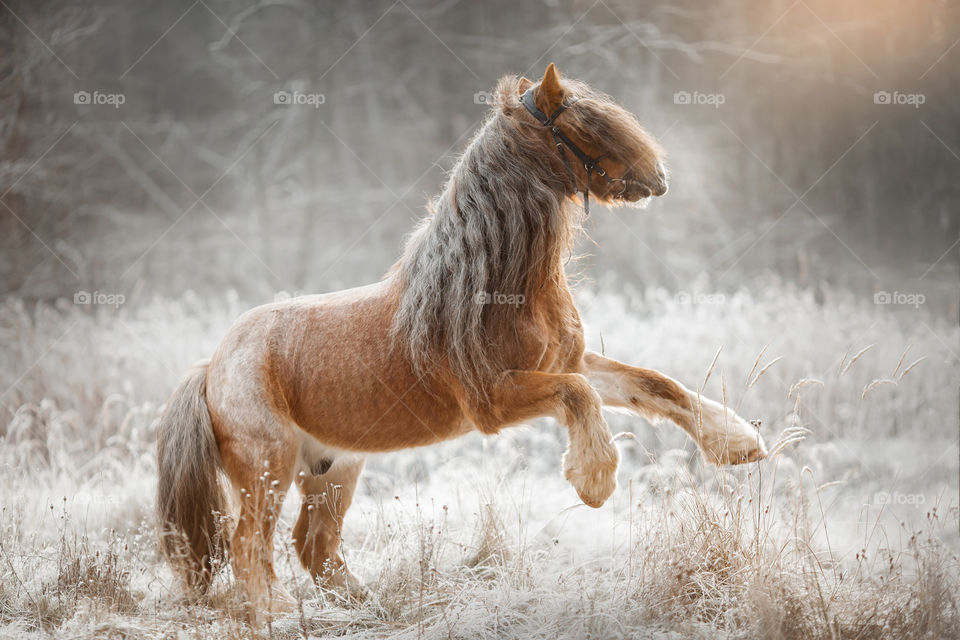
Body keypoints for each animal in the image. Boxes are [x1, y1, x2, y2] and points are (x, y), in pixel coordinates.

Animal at [156, 63, 764, 616]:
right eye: (583, 124)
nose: (659, 176)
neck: (494, 287)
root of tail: (211, 367)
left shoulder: (567, 362)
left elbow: (651, 385)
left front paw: (737, 443)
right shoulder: (494, 400)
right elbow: (579, 395)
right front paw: (593, 480)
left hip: (334, 467)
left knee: (314, 543)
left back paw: (363, 606)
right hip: (269, 465)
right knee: (249, 544)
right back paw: (279, 612)